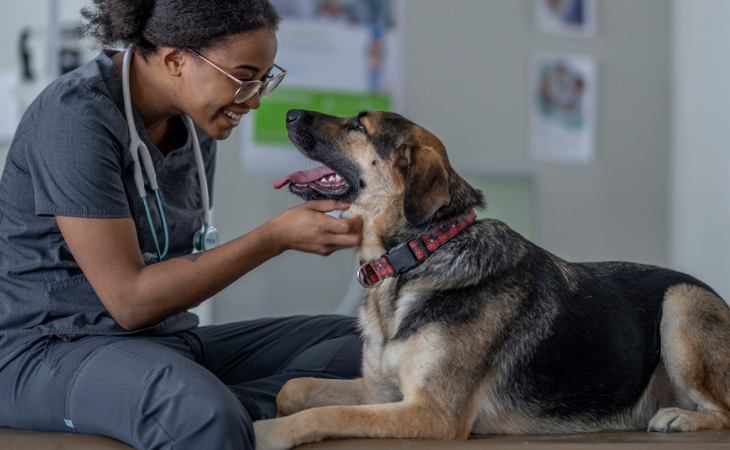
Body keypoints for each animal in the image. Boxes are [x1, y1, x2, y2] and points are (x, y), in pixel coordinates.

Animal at [255, 109, 728, 450]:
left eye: (358, 124)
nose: (289, 113)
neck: (419, 254)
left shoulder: (432, 413)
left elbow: (328, 414)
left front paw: (265, 433)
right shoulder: (382, 392)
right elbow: (292, 389)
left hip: (681, 303)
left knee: (724, 410)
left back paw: (680, 417)